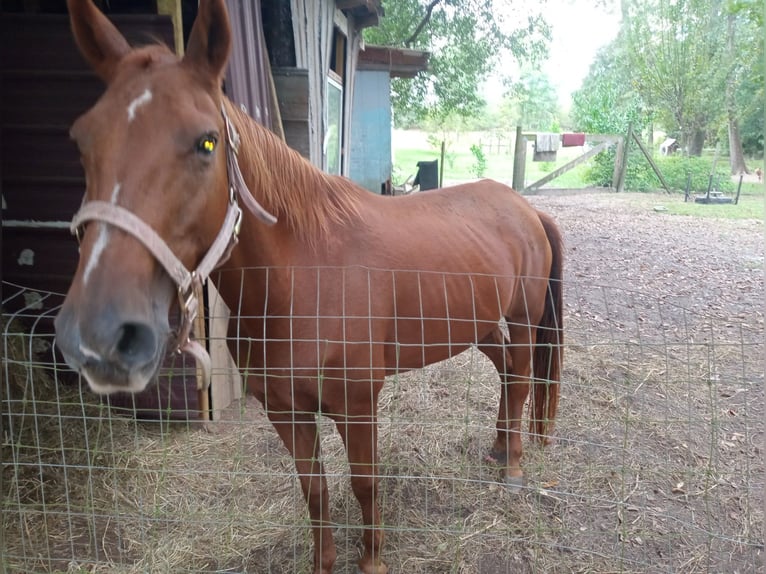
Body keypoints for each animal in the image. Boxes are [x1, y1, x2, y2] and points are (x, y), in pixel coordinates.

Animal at [54, 1, 563, 573]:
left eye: (207, 141)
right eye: (82, 139)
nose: (99, 333)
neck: (302, 280)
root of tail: (525, 209)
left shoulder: (357, 404)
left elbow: (365, 485)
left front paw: (372, 561)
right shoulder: (285, 410)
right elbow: (314, 490)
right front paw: (325, 561)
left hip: (522, 319)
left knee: (521, 379)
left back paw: (513, 467)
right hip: (476, 325)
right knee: (506, 373)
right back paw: (498, 448)